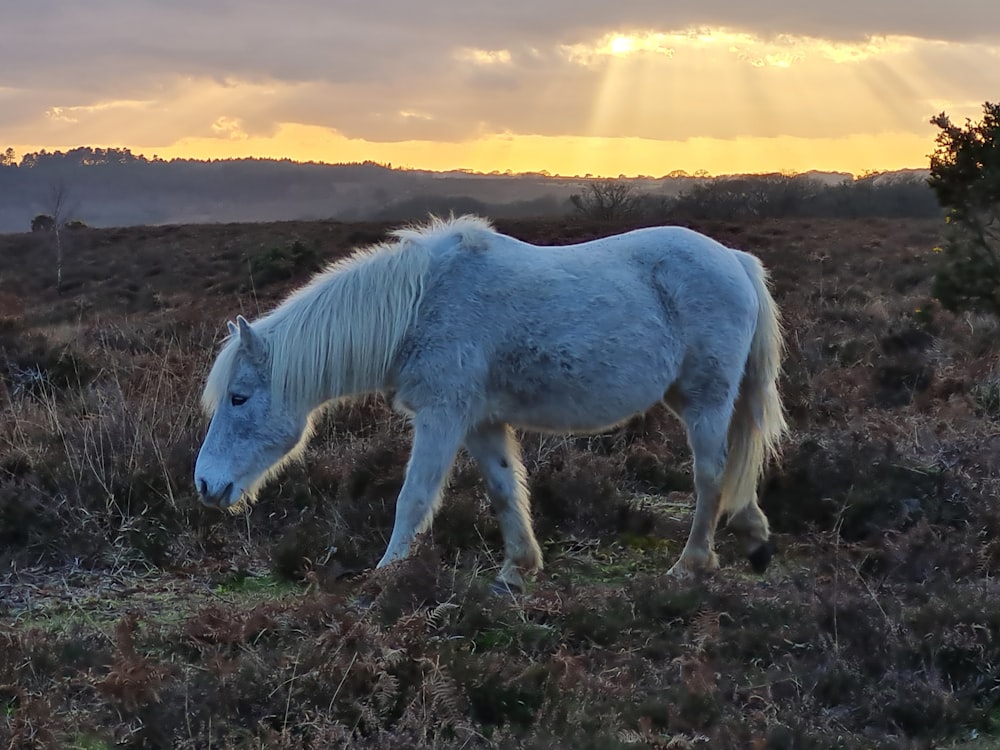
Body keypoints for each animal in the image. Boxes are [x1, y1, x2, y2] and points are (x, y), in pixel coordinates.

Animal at [195, 214, 784, 592]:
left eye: (238, 398)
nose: (205, 485)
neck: (419, 306)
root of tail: (734, 260)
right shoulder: (480, 422)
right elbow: (504, 490)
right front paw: (517, 569)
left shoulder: (442, 416)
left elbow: (414, 497)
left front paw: (385, 576)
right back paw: (754, 536)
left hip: (707, 400)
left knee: (710, 475)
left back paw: (692, 566)